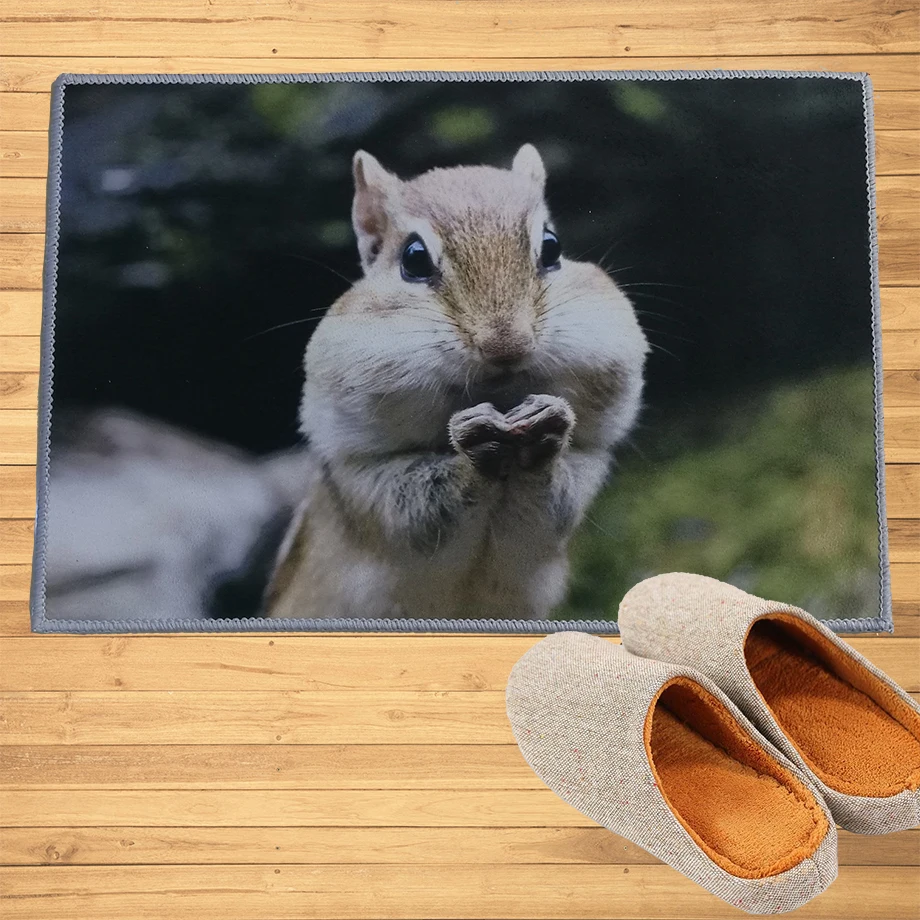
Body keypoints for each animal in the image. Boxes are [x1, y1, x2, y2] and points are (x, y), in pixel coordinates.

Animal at [264, 144, 648, 621]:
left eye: (552, 247)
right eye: (413, 259)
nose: (507, 345)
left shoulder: (586, 469)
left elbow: (554, 499)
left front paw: (548, 425)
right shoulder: (365, 479)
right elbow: (423, 508)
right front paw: (474, 441)